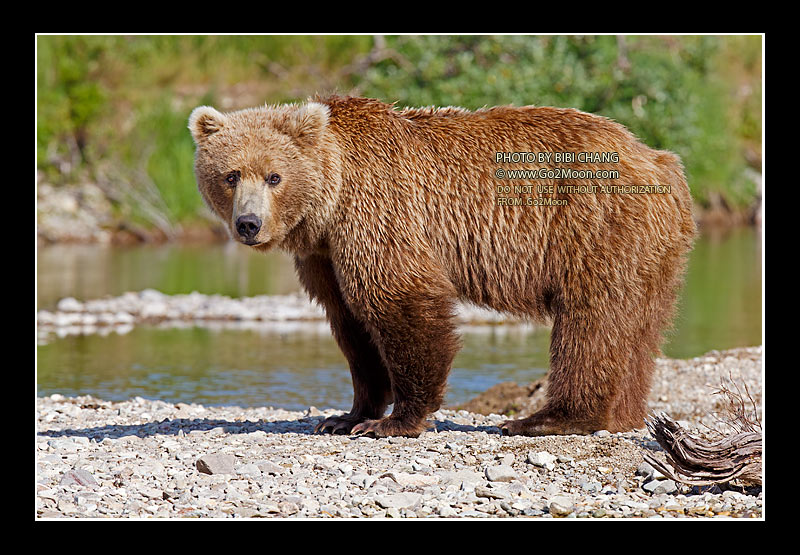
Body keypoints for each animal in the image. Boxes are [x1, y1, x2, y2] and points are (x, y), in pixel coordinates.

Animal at [189, 95, 695, 438]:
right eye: (231, 175)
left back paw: (549, 418)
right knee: (640, 325)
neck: (328, 205)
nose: (249, 223)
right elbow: (351, 324)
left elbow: (400, 299)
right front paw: (346, 416)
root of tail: (657, 158)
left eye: (274, 176)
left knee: (591, 320)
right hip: (654, 251)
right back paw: (623, 415)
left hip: (595, 225)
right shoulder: (323, 253)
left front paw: (396, 421)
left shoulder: (379, 210)